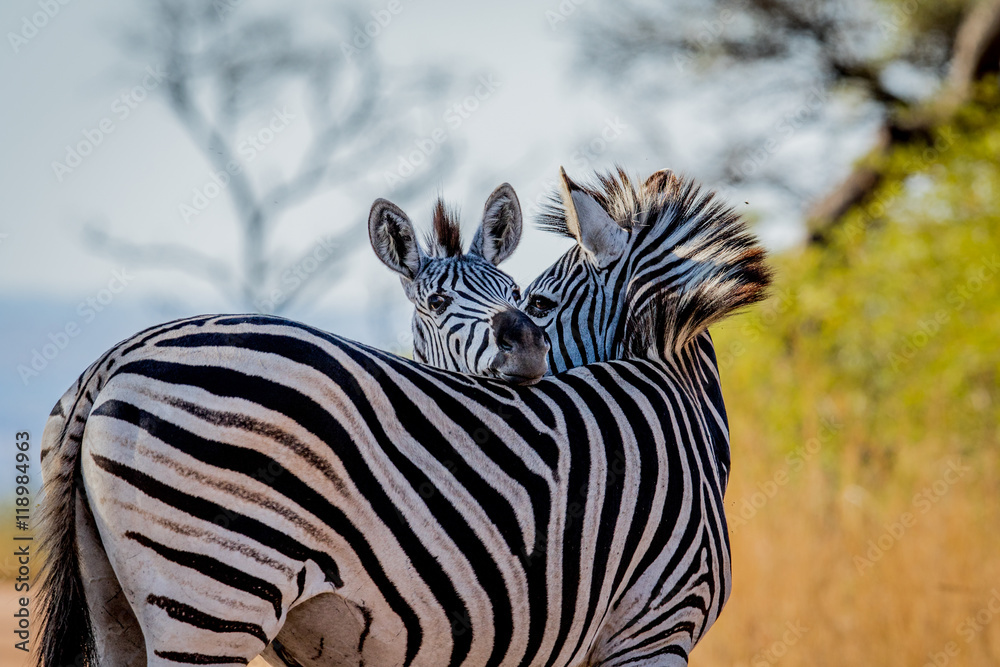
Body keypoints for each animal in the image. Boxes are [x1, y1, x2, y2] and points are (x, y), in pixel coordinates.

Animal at [37, 169, 769, 666]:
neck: (678, 395)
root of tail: (116, 356)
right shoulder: (653, 625)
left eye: (529, 297)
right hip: (213, 595)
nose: (525, 344)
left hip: (121, 608)